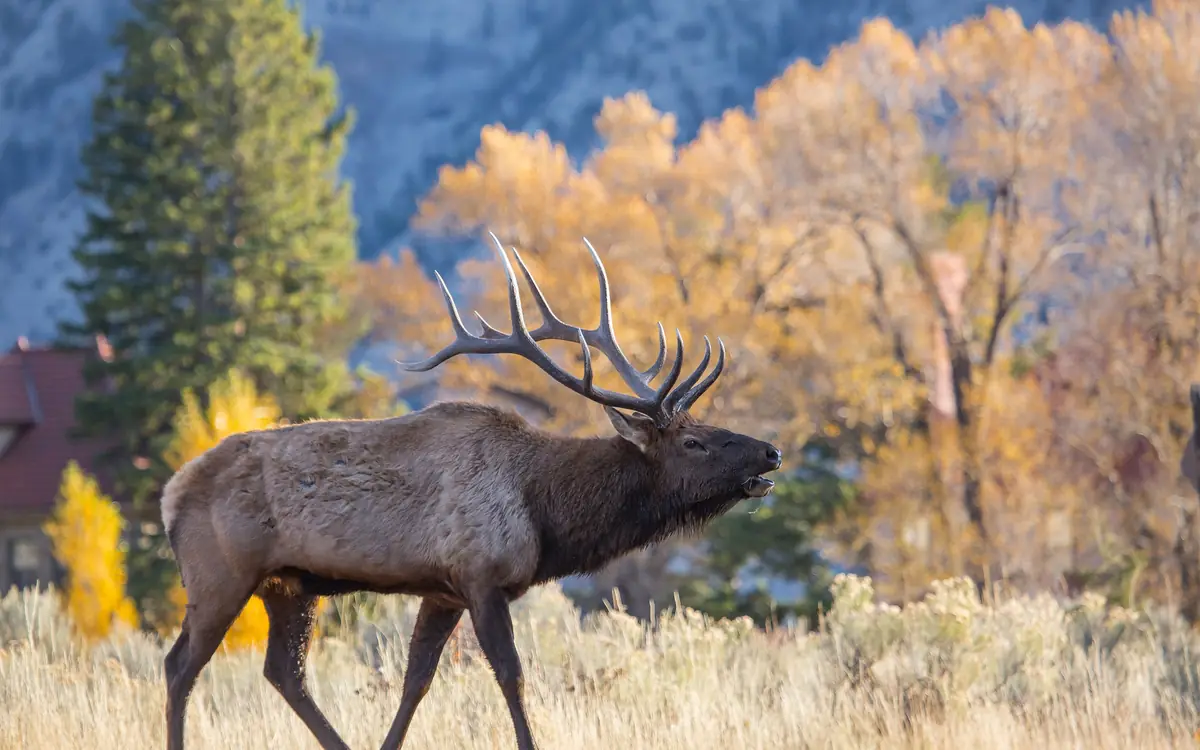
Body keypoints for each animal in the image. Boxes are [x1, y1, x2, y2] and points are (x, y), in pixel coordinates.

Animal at [160, 233, 783, 750]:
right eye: (695, 442)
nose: (771, 452)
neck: (545, 512)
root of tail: (170, 493)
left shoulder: (443, 590)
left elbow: (416, 680)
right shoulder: (482, 576)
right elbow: (511, 676)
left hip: (289, 584)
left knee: (283, 672)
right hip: (220, 574)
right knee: (180, 666)